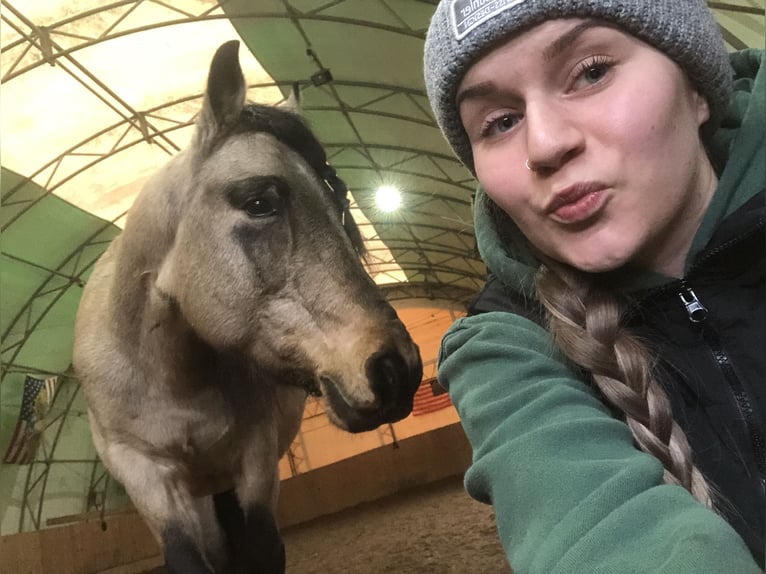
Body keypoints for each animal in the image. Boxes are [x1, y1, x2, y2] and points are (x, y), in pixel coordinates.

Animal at [71, 41, 424, 574]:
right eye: (259, 202)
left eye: (339, 201)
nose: (396, 369)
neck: (168, 372)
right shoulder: (146, 475)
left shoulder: (254, 458)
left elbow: (262, 548)